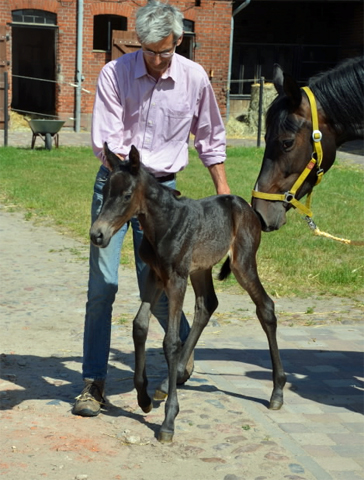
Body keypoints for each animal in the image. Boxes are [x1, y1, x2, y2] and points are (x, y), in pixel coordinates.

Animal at [89, 144, 286, 444]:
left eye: (126, 195)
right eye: (106, 190)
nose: (97, 235)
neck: (164, 225)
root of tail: (248, 208)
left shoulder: (176, 279)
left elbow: (170, 341)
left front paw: (169, 421)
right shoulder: (155, 275)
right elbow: (140, 326)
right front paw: (144, 398)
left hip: (242, 263)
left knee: (265, 307)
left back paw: (277, 391)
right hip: (201, 269)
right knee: (207, 305)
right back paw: (172, 378)